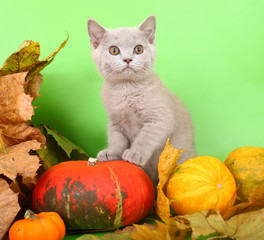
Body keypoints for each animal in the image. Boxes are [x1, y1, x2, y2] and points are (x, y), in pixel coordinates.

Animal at [87, 15, 196, 186]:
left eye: (138, 49)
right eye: (113, 50)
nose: (127, 59)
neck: (126, 89)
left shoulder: (160, 119)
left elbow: (144, 138)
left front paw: (134, 154)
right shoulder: (115, 123)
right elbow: (116, 140)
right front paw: (111, 152)